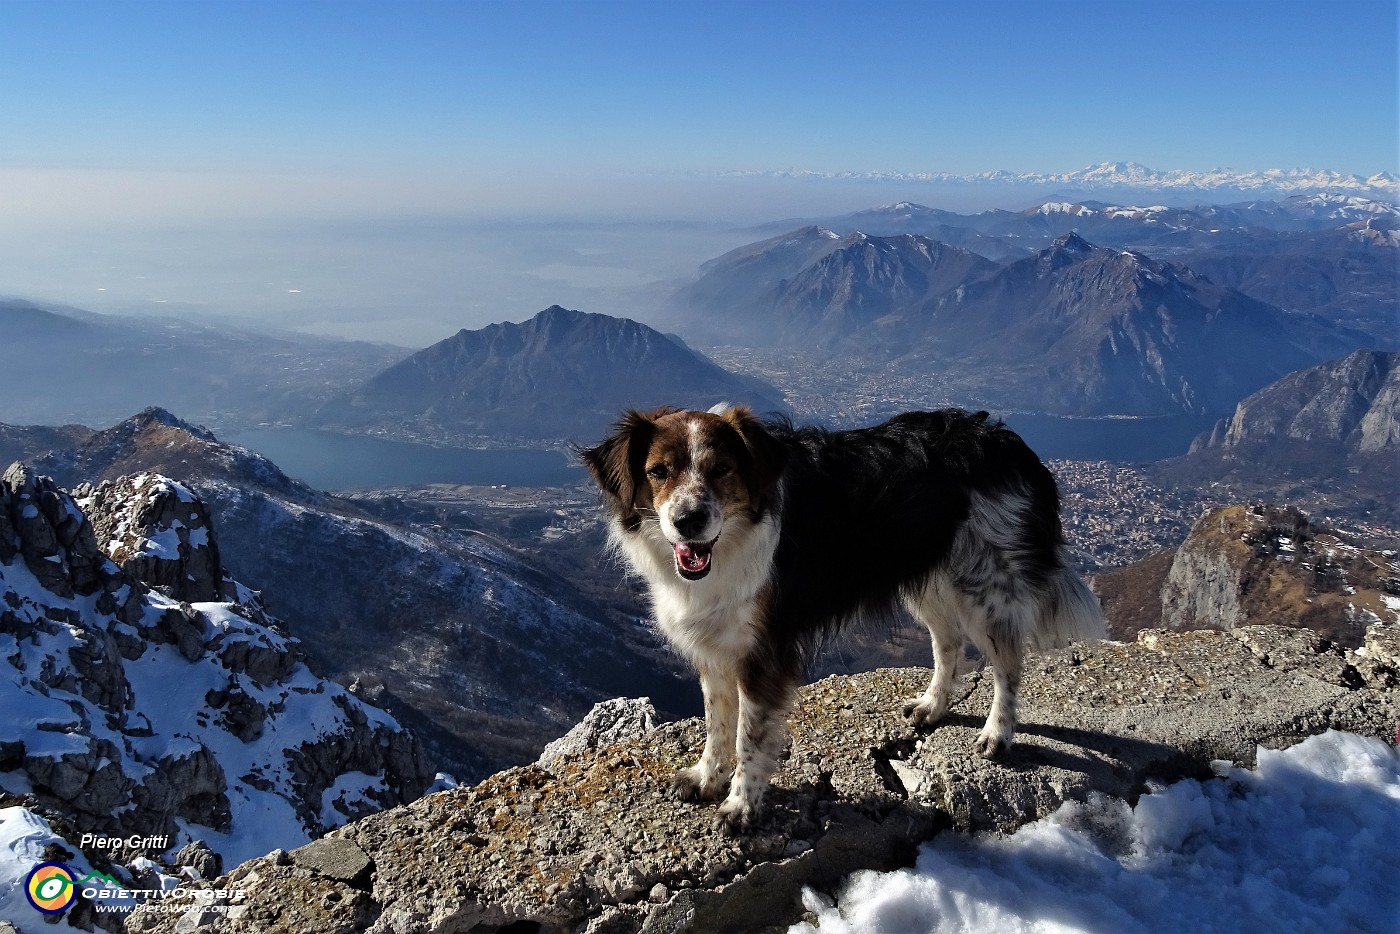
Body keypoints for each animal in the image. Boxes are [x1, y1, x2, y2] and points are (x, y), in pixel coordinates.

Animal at [579, 403, 1103, 834]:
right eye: (658, 471)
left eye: (722, 469)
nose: (688, 521)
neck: (736, 538)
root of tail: (1003, 440)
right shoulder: (717, 646)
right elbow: (717, 723)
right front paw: (707, 778)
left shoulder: (764, 652)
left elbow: (750, 736)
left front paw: (742, 806)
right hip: (929, 578)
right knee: (948, 641)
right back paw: (933, 707)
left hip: (986, 586)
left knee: (1007, 663)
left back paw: (997, 733)